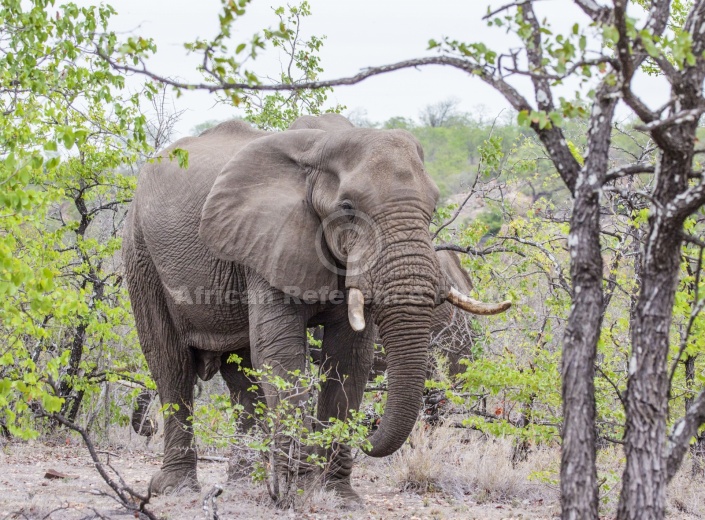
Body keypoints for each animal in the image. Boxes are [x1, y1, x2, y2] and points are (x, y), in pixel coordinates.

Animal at [124, 112, 508, 500]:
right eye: (348, 208)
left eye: (432, 208)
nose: (370, 429)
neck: (323, 145)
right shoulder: (268, 239)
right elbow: (281, 353)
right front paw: (294, 492)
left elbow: (349, 358)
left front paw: (337, 496)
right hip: (140, 251)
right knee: (170, 363)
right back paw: (175, 488)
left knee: (241, 374)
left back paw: (242, 486)